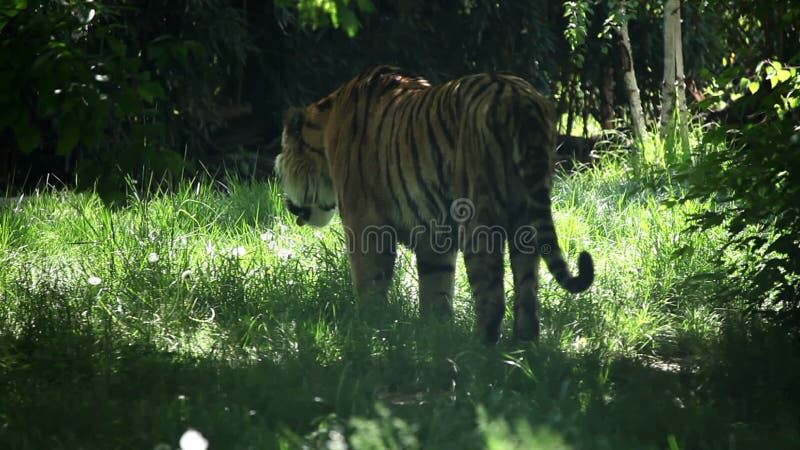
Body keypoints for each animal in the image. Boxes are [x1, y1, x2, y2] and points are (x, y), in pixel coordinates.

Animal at [276, 66, 592, 342]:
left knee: (491, 294)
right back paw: (524, 346)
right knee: (527, 290)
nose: (287, 204)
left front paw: (367, 327)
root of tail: (519, 99)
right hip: (526, 218)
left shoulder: (365, 222)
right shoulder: (435, 232)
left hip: (478, 217)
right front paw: (434, 333)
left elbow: (370, 280)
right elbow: (436, 285)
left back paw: (477, 349)